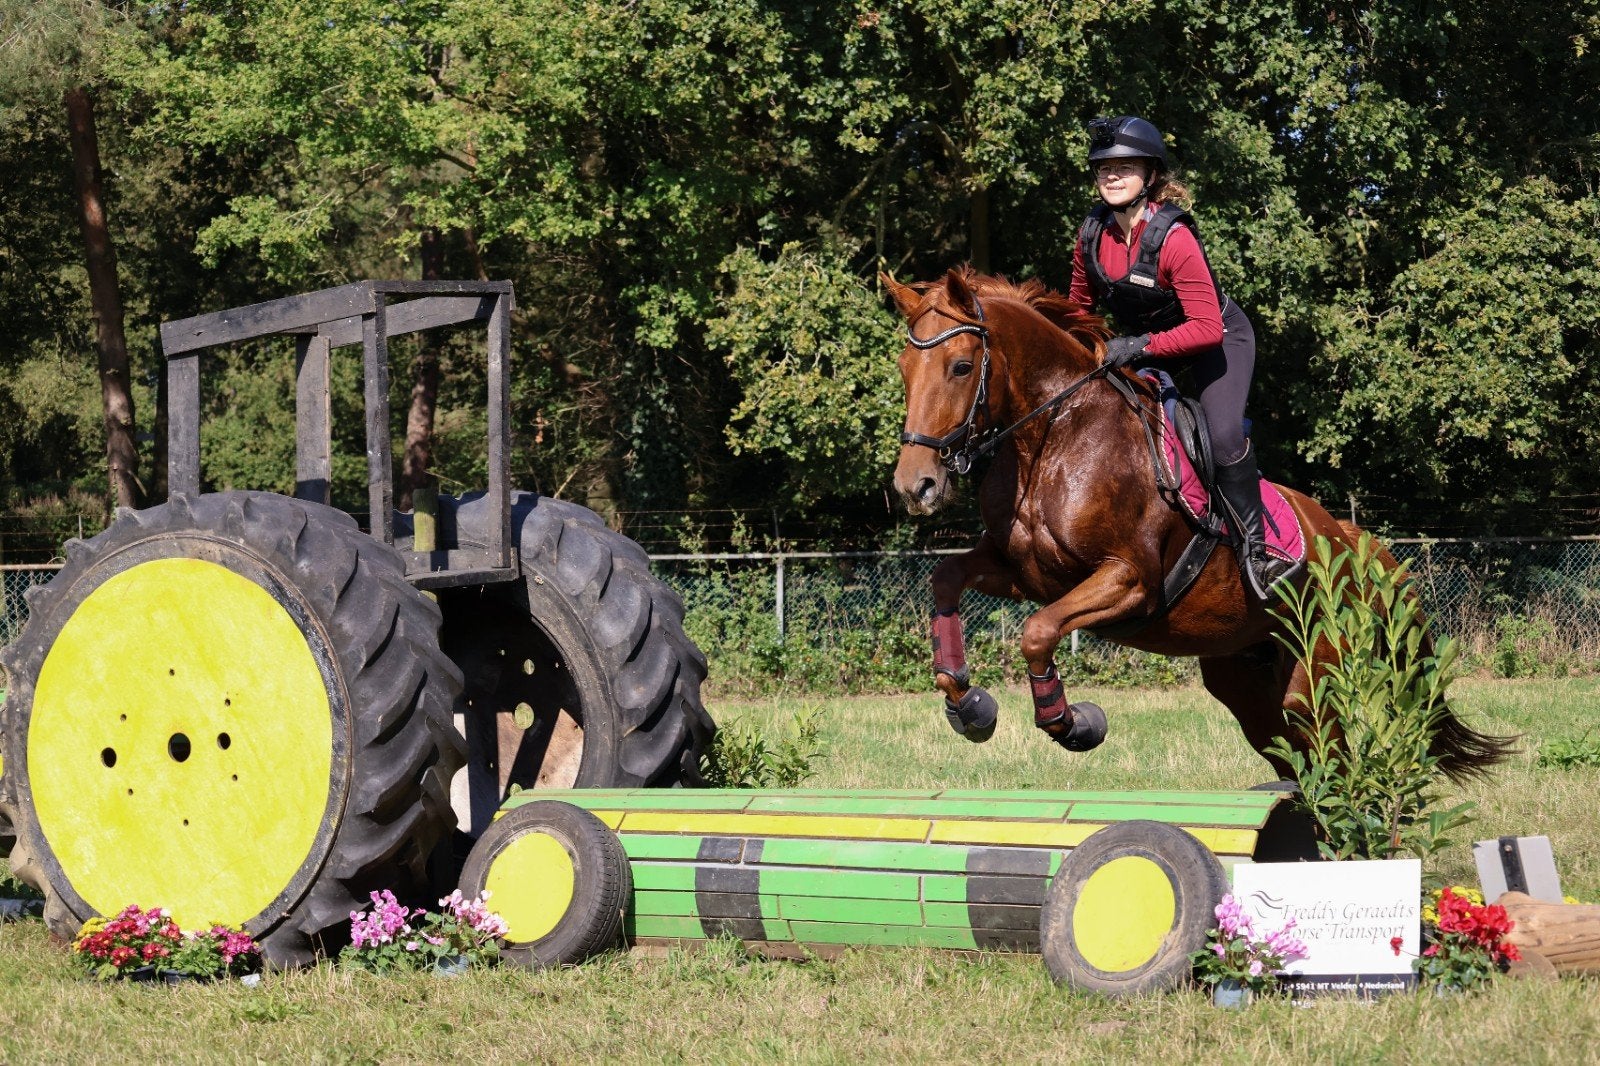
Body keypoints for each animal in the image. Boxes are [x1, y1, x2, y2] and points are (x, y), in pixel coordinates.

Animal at [884, 265, 1510, 781]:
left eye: (962, 367)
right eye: (904, 369)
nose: (916, 486)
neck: (1056, 436)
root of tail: (1359, 544)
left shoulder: (1128, 581)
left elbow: (1037, 632)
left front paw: (1072, 723)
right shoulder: (1025, 572)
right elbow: (947, 578)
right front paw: (967, 705)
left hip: (1316, 672)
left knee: (1328, 751)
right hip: (1245, 681)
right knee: (1297, 760)